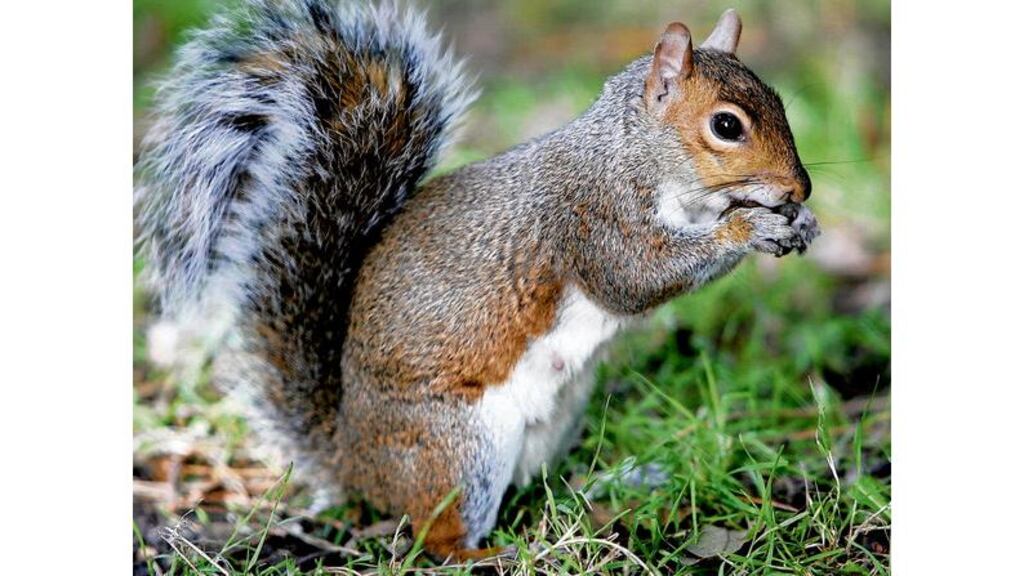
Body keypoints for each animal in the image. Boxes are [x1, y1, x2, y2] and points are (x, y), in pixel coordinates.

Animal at [135, 0, 819, 559]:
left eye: (782, 103)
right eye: (726, 126)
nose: (800, 188)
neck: (633, 156)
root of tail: (354, 459)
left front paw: (798, 223)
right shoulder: (593, 220)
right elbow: (634, 279)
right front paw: (749, 228)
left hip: (553, 425)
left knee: (539, 486)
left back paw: (608, 489)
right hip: (458, 448)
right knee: (435, 538)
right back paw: (490, 553)